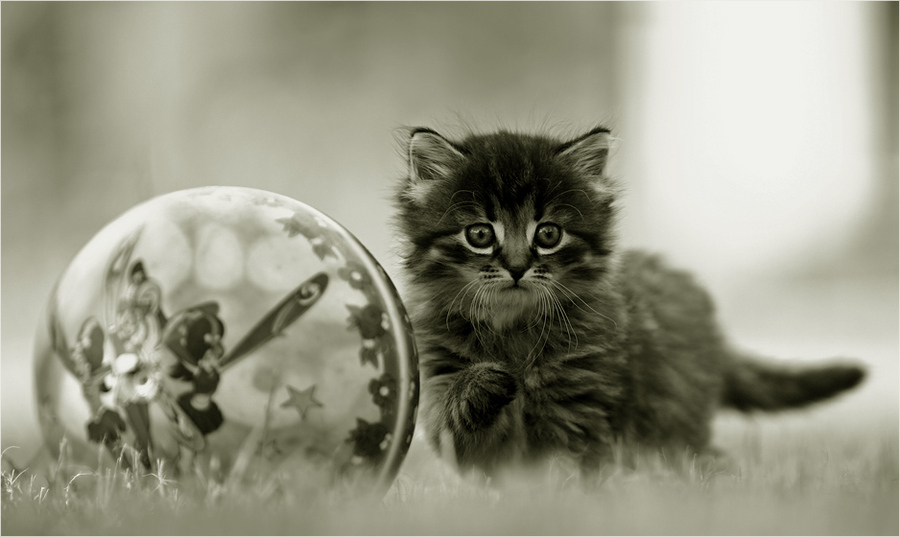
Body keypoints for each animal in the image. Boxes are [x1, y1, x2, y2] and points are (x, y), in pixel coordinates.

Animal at [394, 125, 864, 478]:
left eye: (548, 234)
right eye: (479, 234)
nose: (516, 267)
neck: (514, 329)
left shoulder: (583, 404)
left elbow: (564, 471)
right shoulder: (438, 384)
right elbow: (460, 418)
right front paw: (483, 384)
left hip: (675, 425)